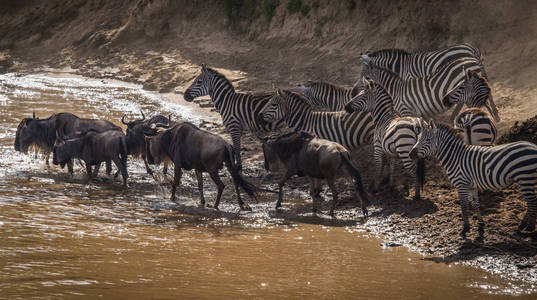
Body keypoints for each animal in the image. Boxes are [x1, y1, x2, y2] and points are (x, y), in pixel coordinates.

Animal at [408, 121, 536, 239]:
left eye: (428, 139)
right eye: (418, 138)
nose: (410, 154)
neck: (456, 157)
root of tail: (533, 146)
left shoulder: (461, 185)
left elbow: (464, 207)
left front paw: (465, 229)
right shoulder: (472, 186)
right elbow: (475, 205)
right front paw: (480, 225)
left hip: (524, 179)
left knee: (531, 203)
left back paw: (524, 227)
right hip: (528, 180)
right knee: (532, 203)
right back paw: (528, 226)